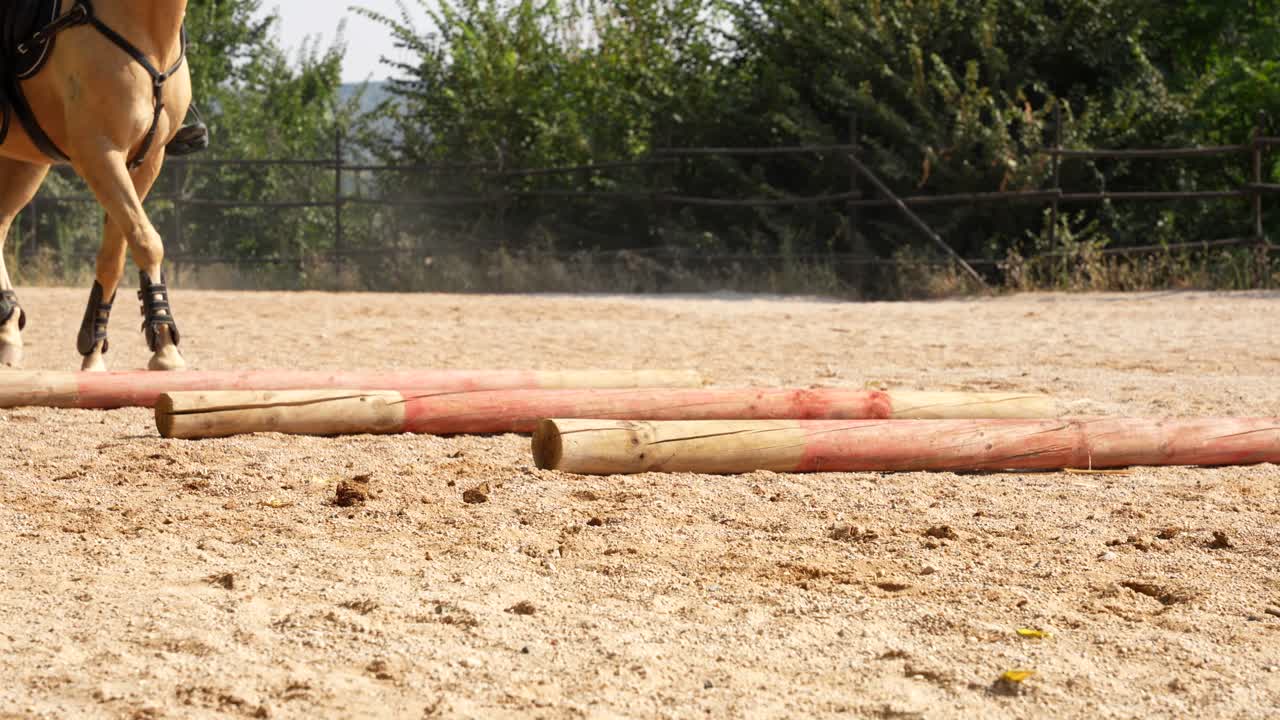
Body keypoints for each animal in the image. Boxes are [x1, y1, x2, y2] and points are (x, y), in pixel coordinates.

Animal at [0, 0, 207, 372]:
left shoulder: (146, 160)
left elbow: (116, 255)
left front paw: (96, 348)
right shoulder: (98, 153)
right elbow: (147, 240)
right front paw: (165, 347)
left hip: (26, 163)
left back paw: (7, 329)